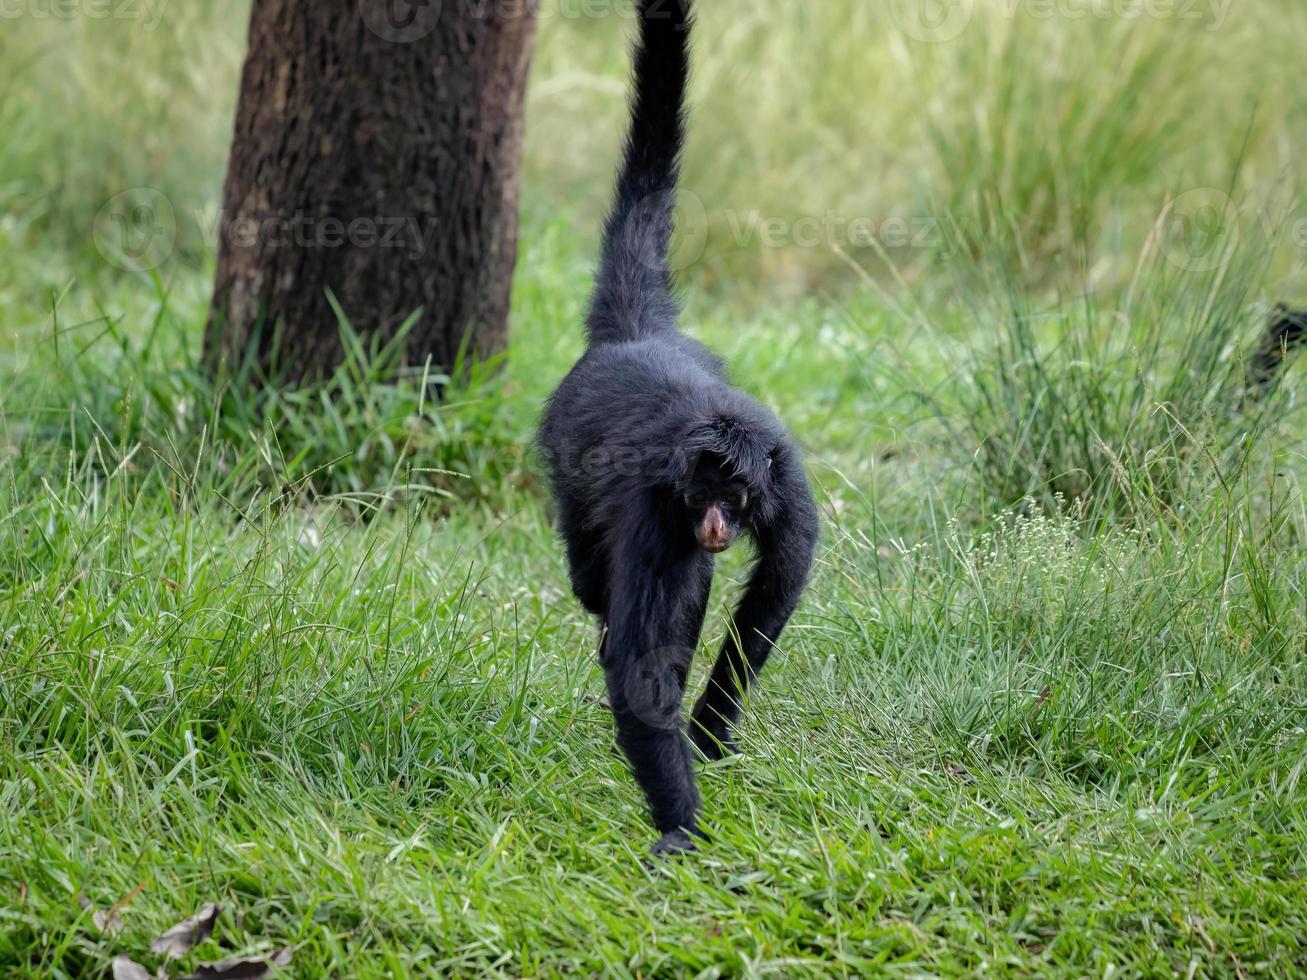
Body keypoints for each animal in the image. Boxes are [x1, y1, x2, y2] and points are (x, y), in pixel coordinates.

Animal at [538, 0, 815, 857]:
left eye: (734, 494)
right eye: (699, 497)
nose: (717, 523)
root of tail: (636, 338)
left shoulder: (784, 474)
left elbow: (778, 580)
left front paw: (711, 731)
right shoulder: (657, 511)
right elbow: (639, 661)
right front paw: (682, 827)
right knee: (595, 581)